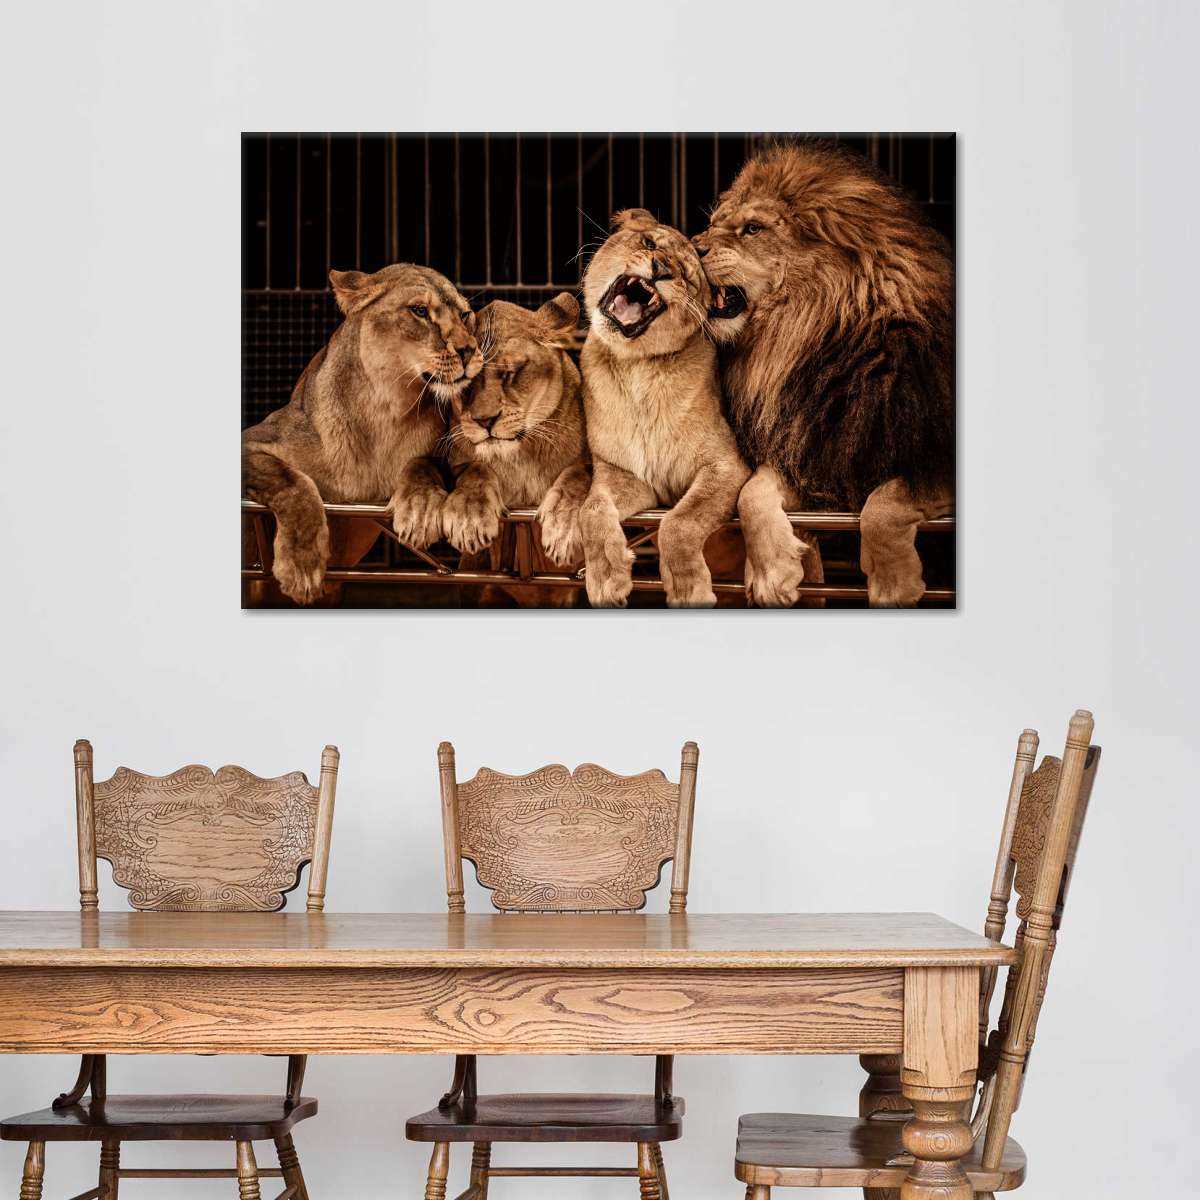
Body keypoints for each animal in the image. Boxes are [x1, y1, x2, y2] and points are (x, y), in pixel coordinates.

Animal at [241, 263, 481, 605]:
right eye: (420, 311)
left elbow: (423, 464)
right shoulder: (253, 441)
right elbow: (292, 482)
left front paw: (420, 509)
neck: (386, 410)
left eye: (465, 315)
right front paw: (301, 566)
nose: (469, 350)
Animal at [441, 294, 591, 606]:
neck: (519, 455)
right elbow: (474, 469)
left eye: (510, 373)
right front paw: (469, 517)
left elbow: (578, 475)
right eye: (466, 383)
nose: (485, 420)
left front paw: (563, 527)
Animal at [578, 209, 750, 608]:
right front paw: (606, 578)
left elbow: (680, 522)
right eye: (649, 243)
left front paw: (688, 588)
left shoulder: (726, 466)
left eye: (687, 277)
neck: (637, 367)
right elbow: (591, 511)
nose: (660, 269)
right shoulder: (624, 475)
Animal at [693, 141, 954, 607]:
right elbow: (751, 492)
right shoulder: (812, 448)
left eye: (753, 229)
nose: (691, 245)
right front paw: (771, 572)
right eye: (711, 224)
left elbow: (886, 500)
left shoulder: (932, 456)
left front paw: (893, 583)